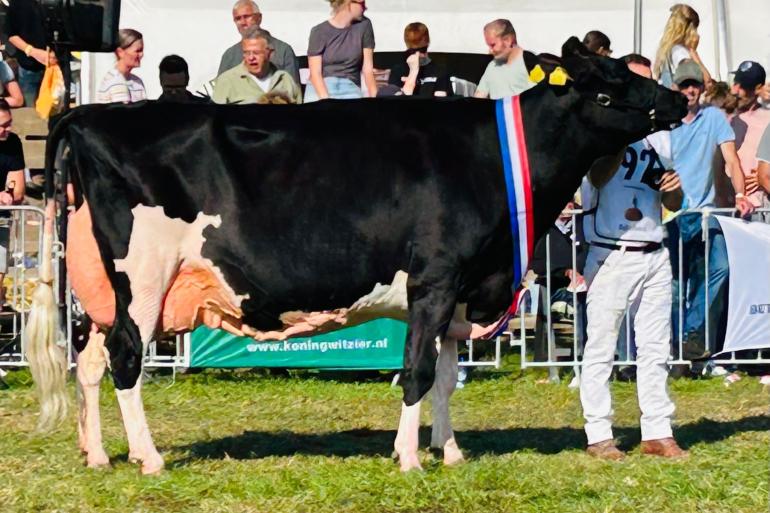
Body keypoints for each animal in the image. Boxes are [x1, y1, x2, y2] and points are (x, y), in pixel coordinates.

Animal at [25, 39, 684, 472]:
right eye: (608, 91)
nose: (678, 100)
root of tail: (89, 114)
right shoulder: (435, 279)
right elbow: (418, 371)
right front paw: (410, 459)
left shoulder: (462, 289)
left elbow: (447, 376)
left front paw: (449, 452)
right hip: (144, 277)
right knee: (126, 359)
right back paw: (150, 457)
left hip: (104, 286)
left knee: (90, 360)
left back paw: (96, 455)